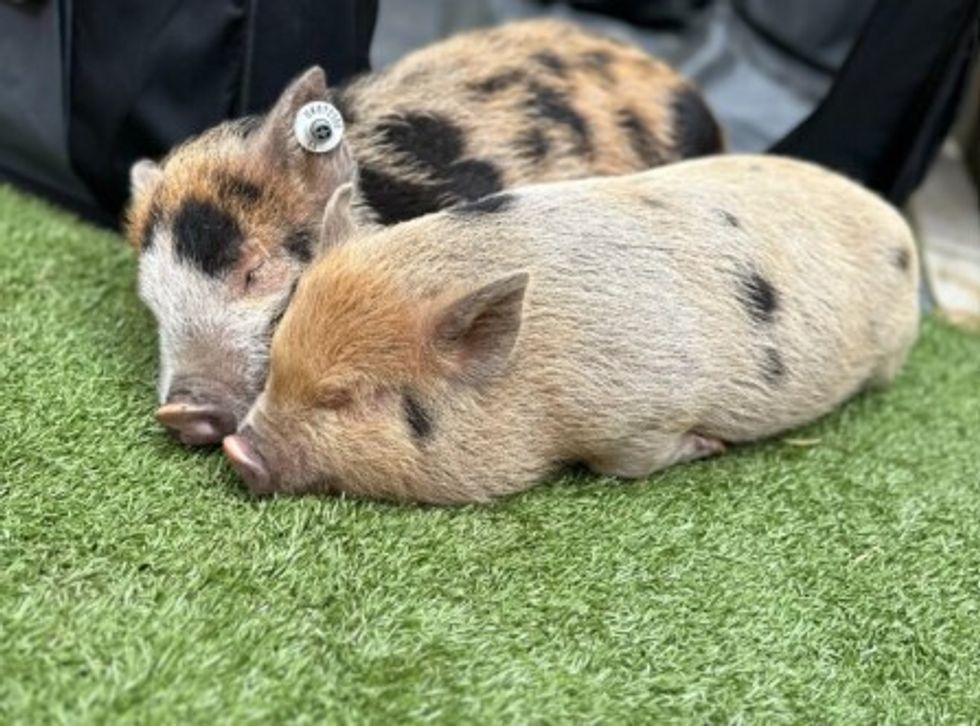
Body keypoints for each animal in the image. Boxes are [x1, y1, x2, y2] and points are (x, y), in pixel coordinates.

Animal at [221, 154, 921, 504]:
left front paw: (712, 447)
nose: (235, 450)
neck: (537, 381)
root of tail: (898, 224)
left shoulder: (643, 416)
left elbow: (632, 465)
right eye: (276, 359)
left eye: (347, 396)